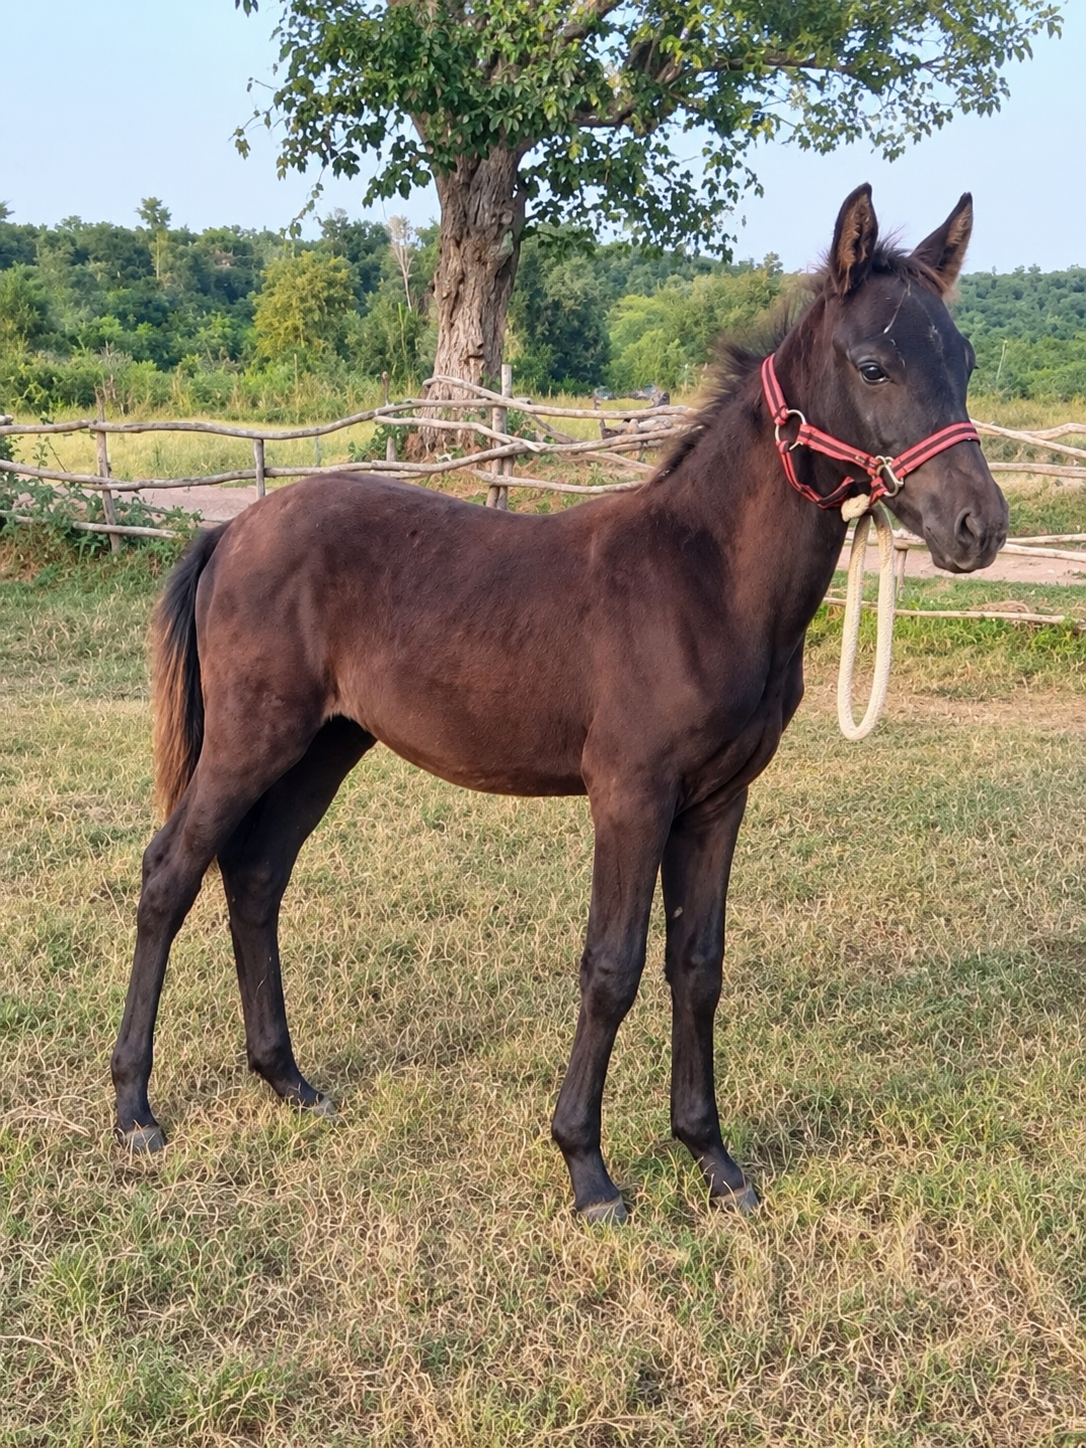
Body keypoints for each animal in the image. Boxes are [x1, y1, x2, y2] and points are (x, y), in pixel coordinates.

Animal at [112, 186, 1008, 1222]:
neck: (703, 580)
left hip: (324, 747)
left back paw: (287, 1080)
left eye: (965, 360)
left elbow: (698, 966)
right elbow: (611, 967)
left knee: (256, 876)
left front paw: (713, 1159)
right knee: (171, 873)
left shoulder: (718, 801)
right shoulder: (631, 796)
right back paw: (134, 1106)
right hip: (252, 739)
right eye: (873, 364)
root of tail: (231, 529)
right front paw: (589, 1170)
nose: (980, 526)